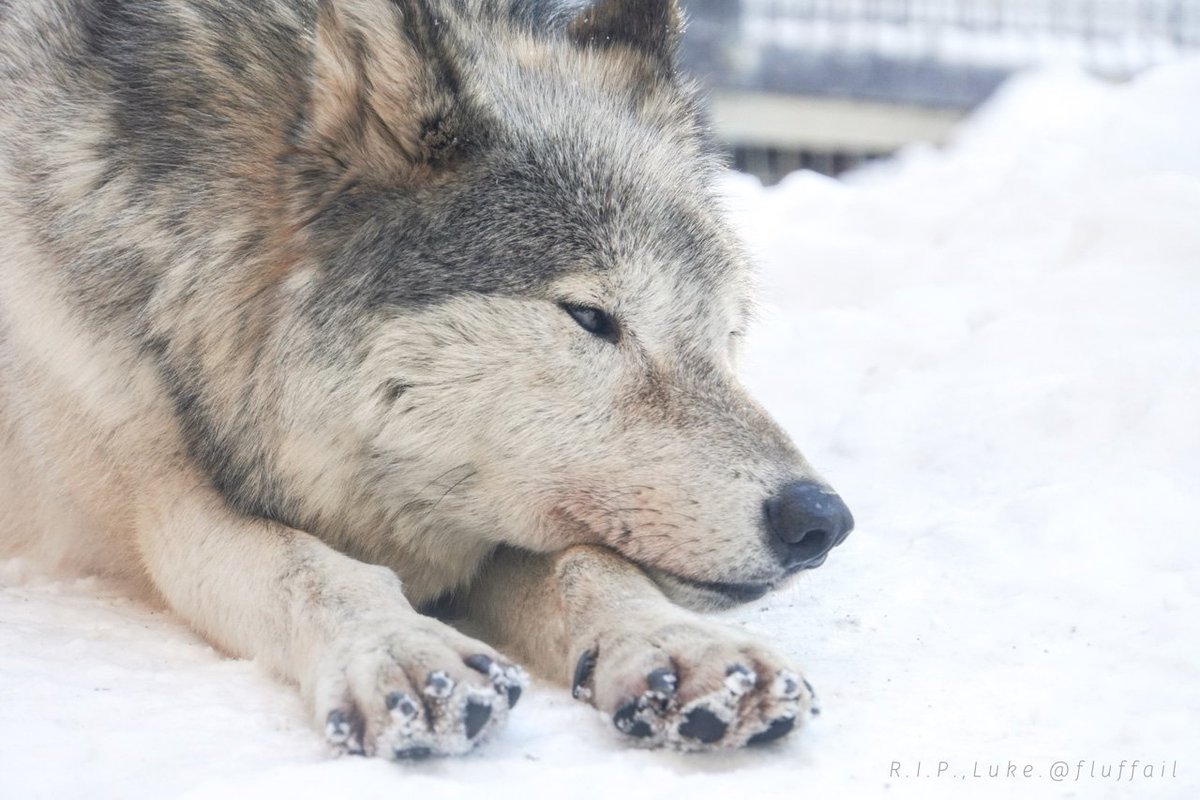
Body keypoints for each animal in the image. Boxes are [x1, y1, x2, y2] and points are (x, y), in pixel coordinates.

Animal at [0, 0, 854, 758]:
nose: (820, 521)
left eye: (726, 332)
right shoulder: (165, 502)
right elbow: (309, 567)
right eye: (590, 317)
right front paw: (403, 650)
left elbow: (588, 564)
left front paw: (684, 646)